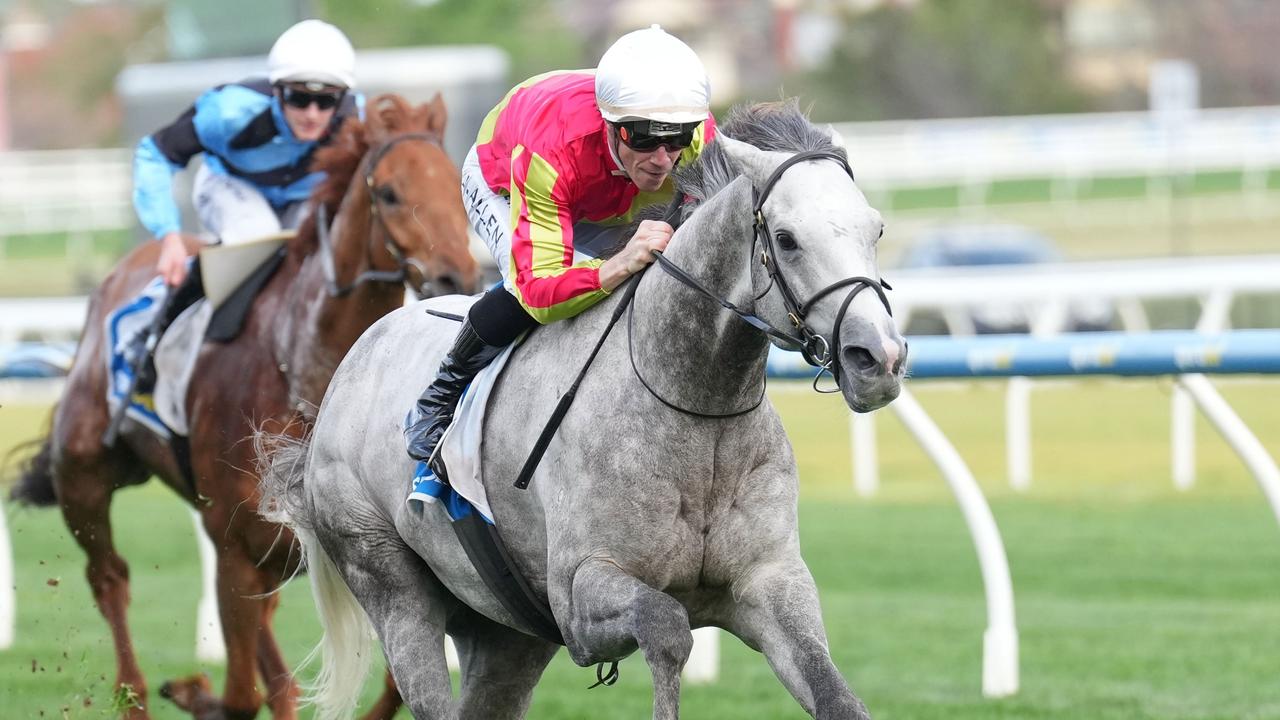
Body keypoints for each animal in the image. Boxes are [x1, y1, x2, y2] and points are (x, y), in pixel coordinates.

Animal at [11, 95, 481, 717]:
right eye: (388, 193)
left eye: (455, 185)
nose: (459, 274)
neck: (302, 365)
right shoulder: (233, 545)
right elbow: (239, 694)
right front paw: (193, 689)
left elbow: (388, 683)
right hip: (85, 477)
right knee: (111, 579)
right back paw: (136, 693)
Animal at [259, 102, 906, 717]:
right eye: (788, 239)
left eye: (875, 229)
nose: (879, 358)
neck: (695, 405)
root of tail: (354, 360)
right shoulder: (580, 595)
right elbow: (667, 628)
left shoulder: (770, 583)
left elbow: (838, 698)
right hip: (389, 582)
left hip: (504, 632)